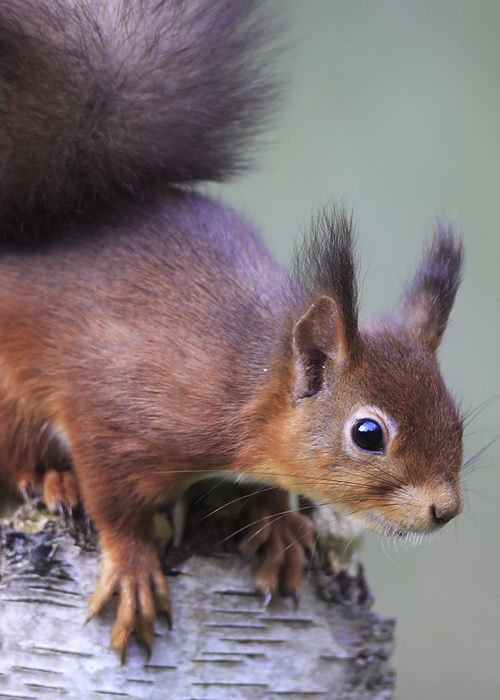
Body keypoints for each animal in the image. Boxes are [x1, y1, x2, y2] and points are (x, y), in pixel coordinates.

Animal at [0, 0, 464, 660]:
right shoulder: (114, 412)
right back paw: (51, 477)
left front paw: (278, 524)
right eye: (368, 434)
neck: (247, 381)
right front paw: (134, 566)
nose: (445, 510)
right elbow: (113, 500)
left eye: (456, 418)